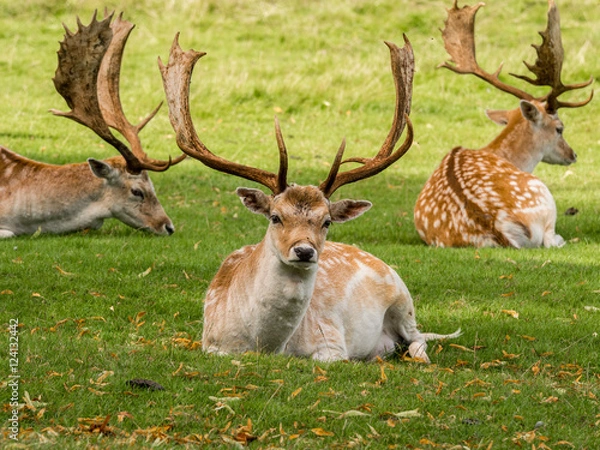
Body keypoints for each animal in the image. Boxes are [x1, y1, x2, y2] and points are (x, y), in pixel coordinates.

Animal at [159, 34, 460, 362]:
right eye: (275, 217)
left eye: (326, 221)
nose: (304, 250)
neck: (268, 345)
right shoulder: (211, 344)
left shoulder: (331, 342)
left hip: (404, 300)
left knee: (418, 339)